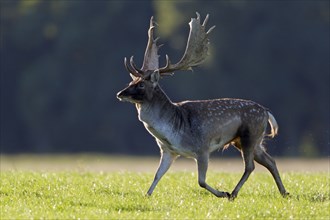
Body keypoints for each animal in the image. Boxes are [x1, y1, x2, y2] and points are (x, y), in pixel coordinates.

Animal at [117, 12, 288, 200]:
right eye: (131, 81)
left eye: (141, 84)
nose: (120, 94)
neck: (173, 131)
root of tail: (266, 112)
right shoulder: (168, 151)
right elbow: (157, 175)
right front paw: (147, 195)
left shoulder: (202, 148)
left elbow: (201, 181)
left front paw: (222, 193)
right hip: (249, 140)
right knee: (270, 161)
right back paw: (284, 192)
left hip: (249, 135)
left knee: (250, 166)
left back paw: (233, 193)